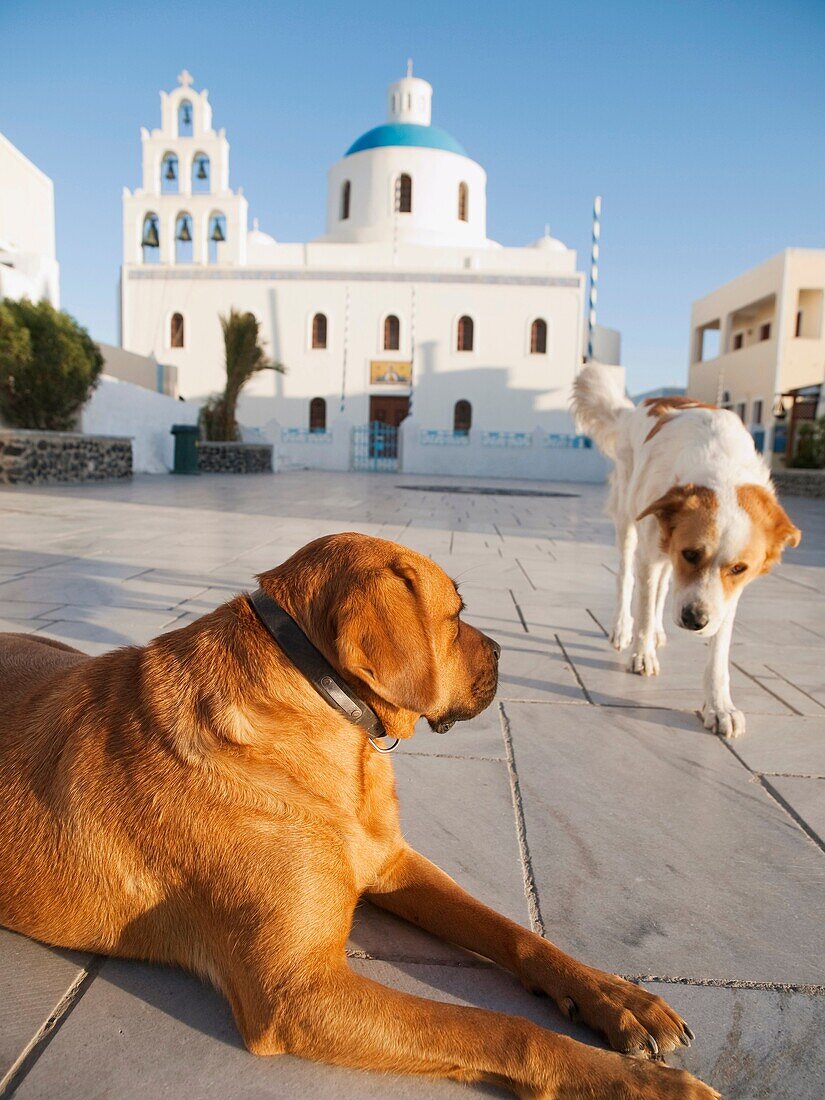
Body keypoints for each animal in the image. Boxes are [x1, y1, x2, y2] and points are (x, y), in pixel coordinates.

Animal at [0, 530, 721, 1091]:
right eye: (454, 615)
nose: (504, 654)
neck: (319, 709)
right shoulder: (299, 992)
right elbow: (499, 1029)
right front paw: (632, 1082)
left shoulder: (395, 864)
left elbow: (517, 934)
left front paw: (614, 995)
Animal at [576, 363, 800, 739]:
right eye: (692, 554)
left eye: (739, 569)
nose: (695, 620)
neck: (722, 472)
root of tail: (637, 408)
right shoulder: (653, 555)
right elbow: (644, 606)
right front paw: (642, 653)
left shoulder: (726, 595)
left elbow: (718, 653)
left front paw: (719, 706)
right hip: (629, 520)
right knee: (626, 579)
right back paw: (624, 629)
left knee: (664, 589)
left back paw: (658, 632)